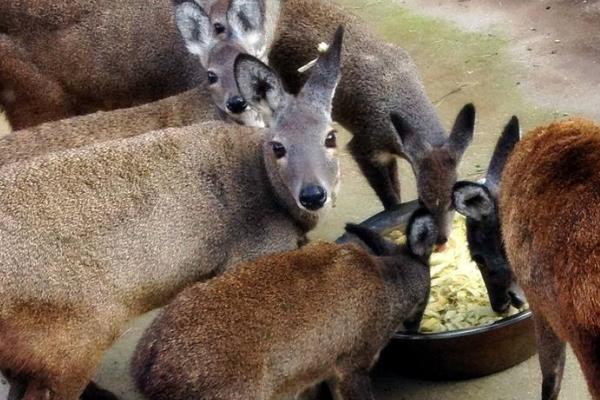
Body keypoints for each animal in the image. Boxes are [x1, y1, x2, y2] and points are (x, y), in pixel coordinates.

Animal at [132, 208, 436, 398]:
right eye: (428, 293)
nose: (416, 326)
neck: (388, 286)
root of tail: (147, 370)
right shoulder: (352, 364)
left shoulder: (315, 372)